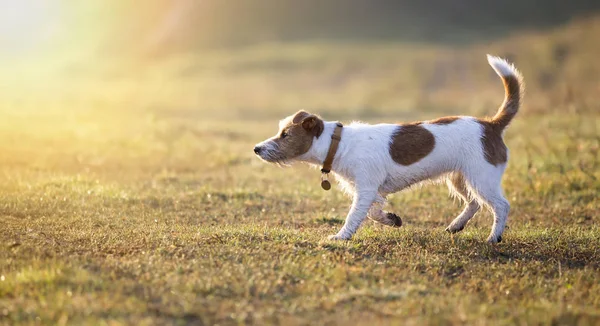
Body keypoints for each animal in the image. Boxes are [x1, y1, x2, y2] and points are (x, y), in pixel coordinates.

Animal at [254, 54, 524, 243]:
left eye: (285, 135)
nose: (257, 149)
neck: (338, 143)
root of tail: (491, 125)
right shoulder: (370, 191)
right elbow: (374, 212)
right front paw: (391, 219)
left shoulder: (365, 189)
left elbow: (355, 215)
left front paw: (341, 236)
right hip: (461, 178)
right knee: (474, 203)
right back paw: (457, 225)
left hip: (482, 177)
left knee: (501, 205)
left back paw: (493, 237)